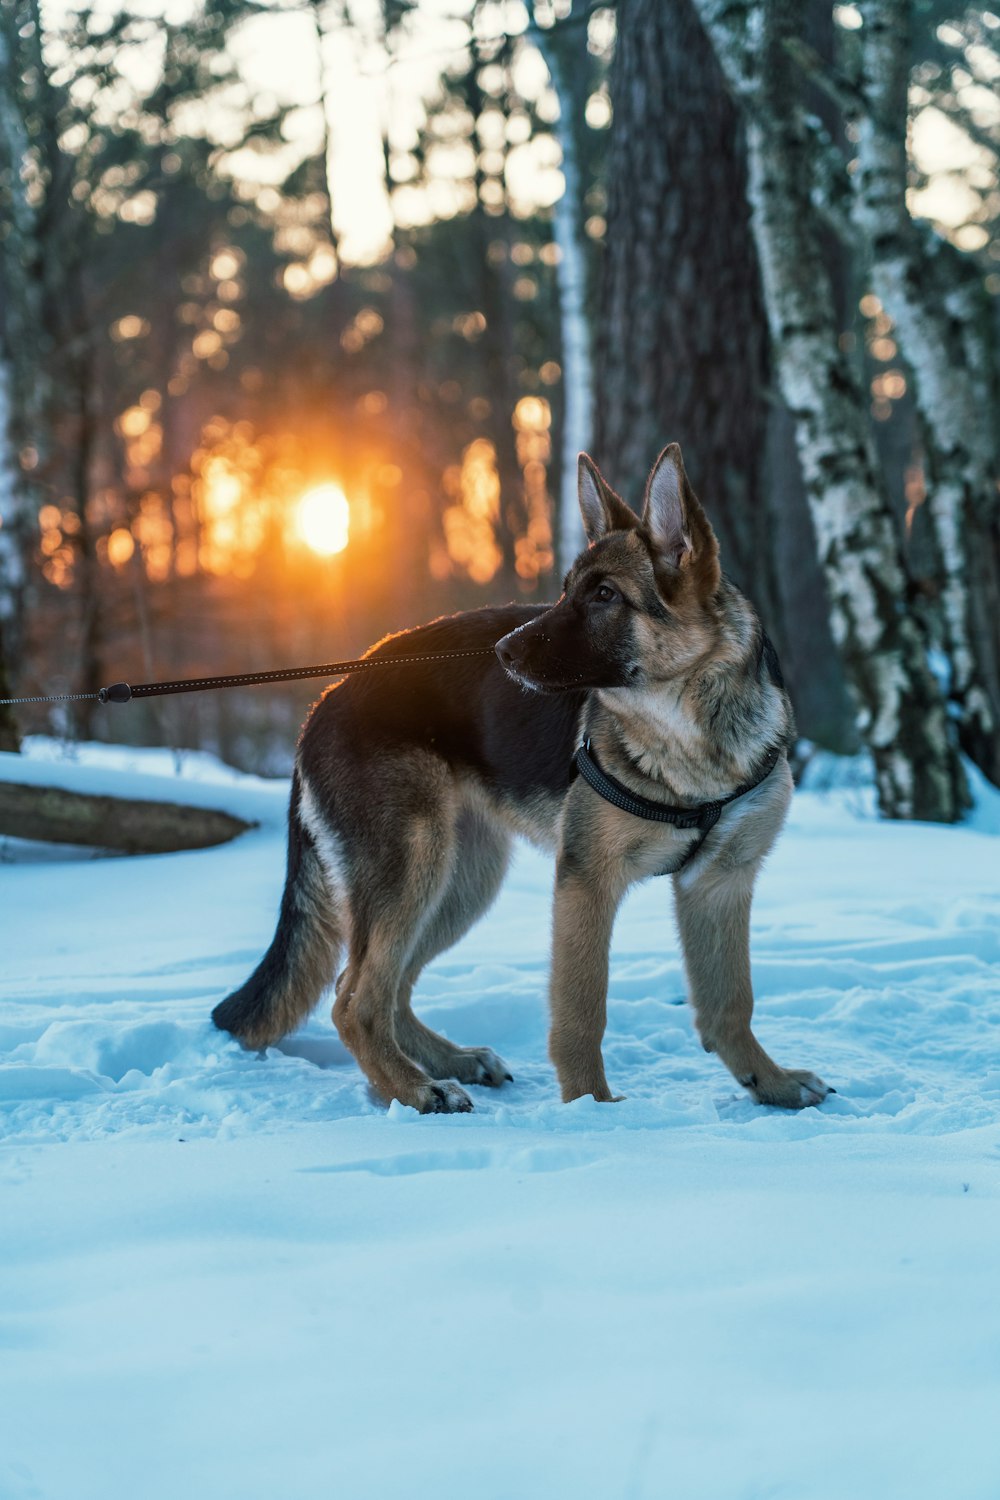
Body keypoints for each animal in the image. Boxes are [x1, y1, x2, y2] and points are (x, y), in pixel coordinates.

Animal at [215, 444, 833, 1116]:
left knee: (390, 990)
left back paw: (446, 1063)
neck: (690, 739)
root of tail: (328, 696)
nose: (504, 652)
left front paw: (770, 1084)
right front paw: (591, 1105)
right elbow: (582, 1009)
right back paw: (417, 1088)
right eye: (565, 593)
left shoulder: (718, 886)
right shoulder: (588, 883)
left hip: (462, 879)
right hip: (414, 870)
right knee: (354, 1000)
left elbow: (731, 1005)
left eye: (605, 595)